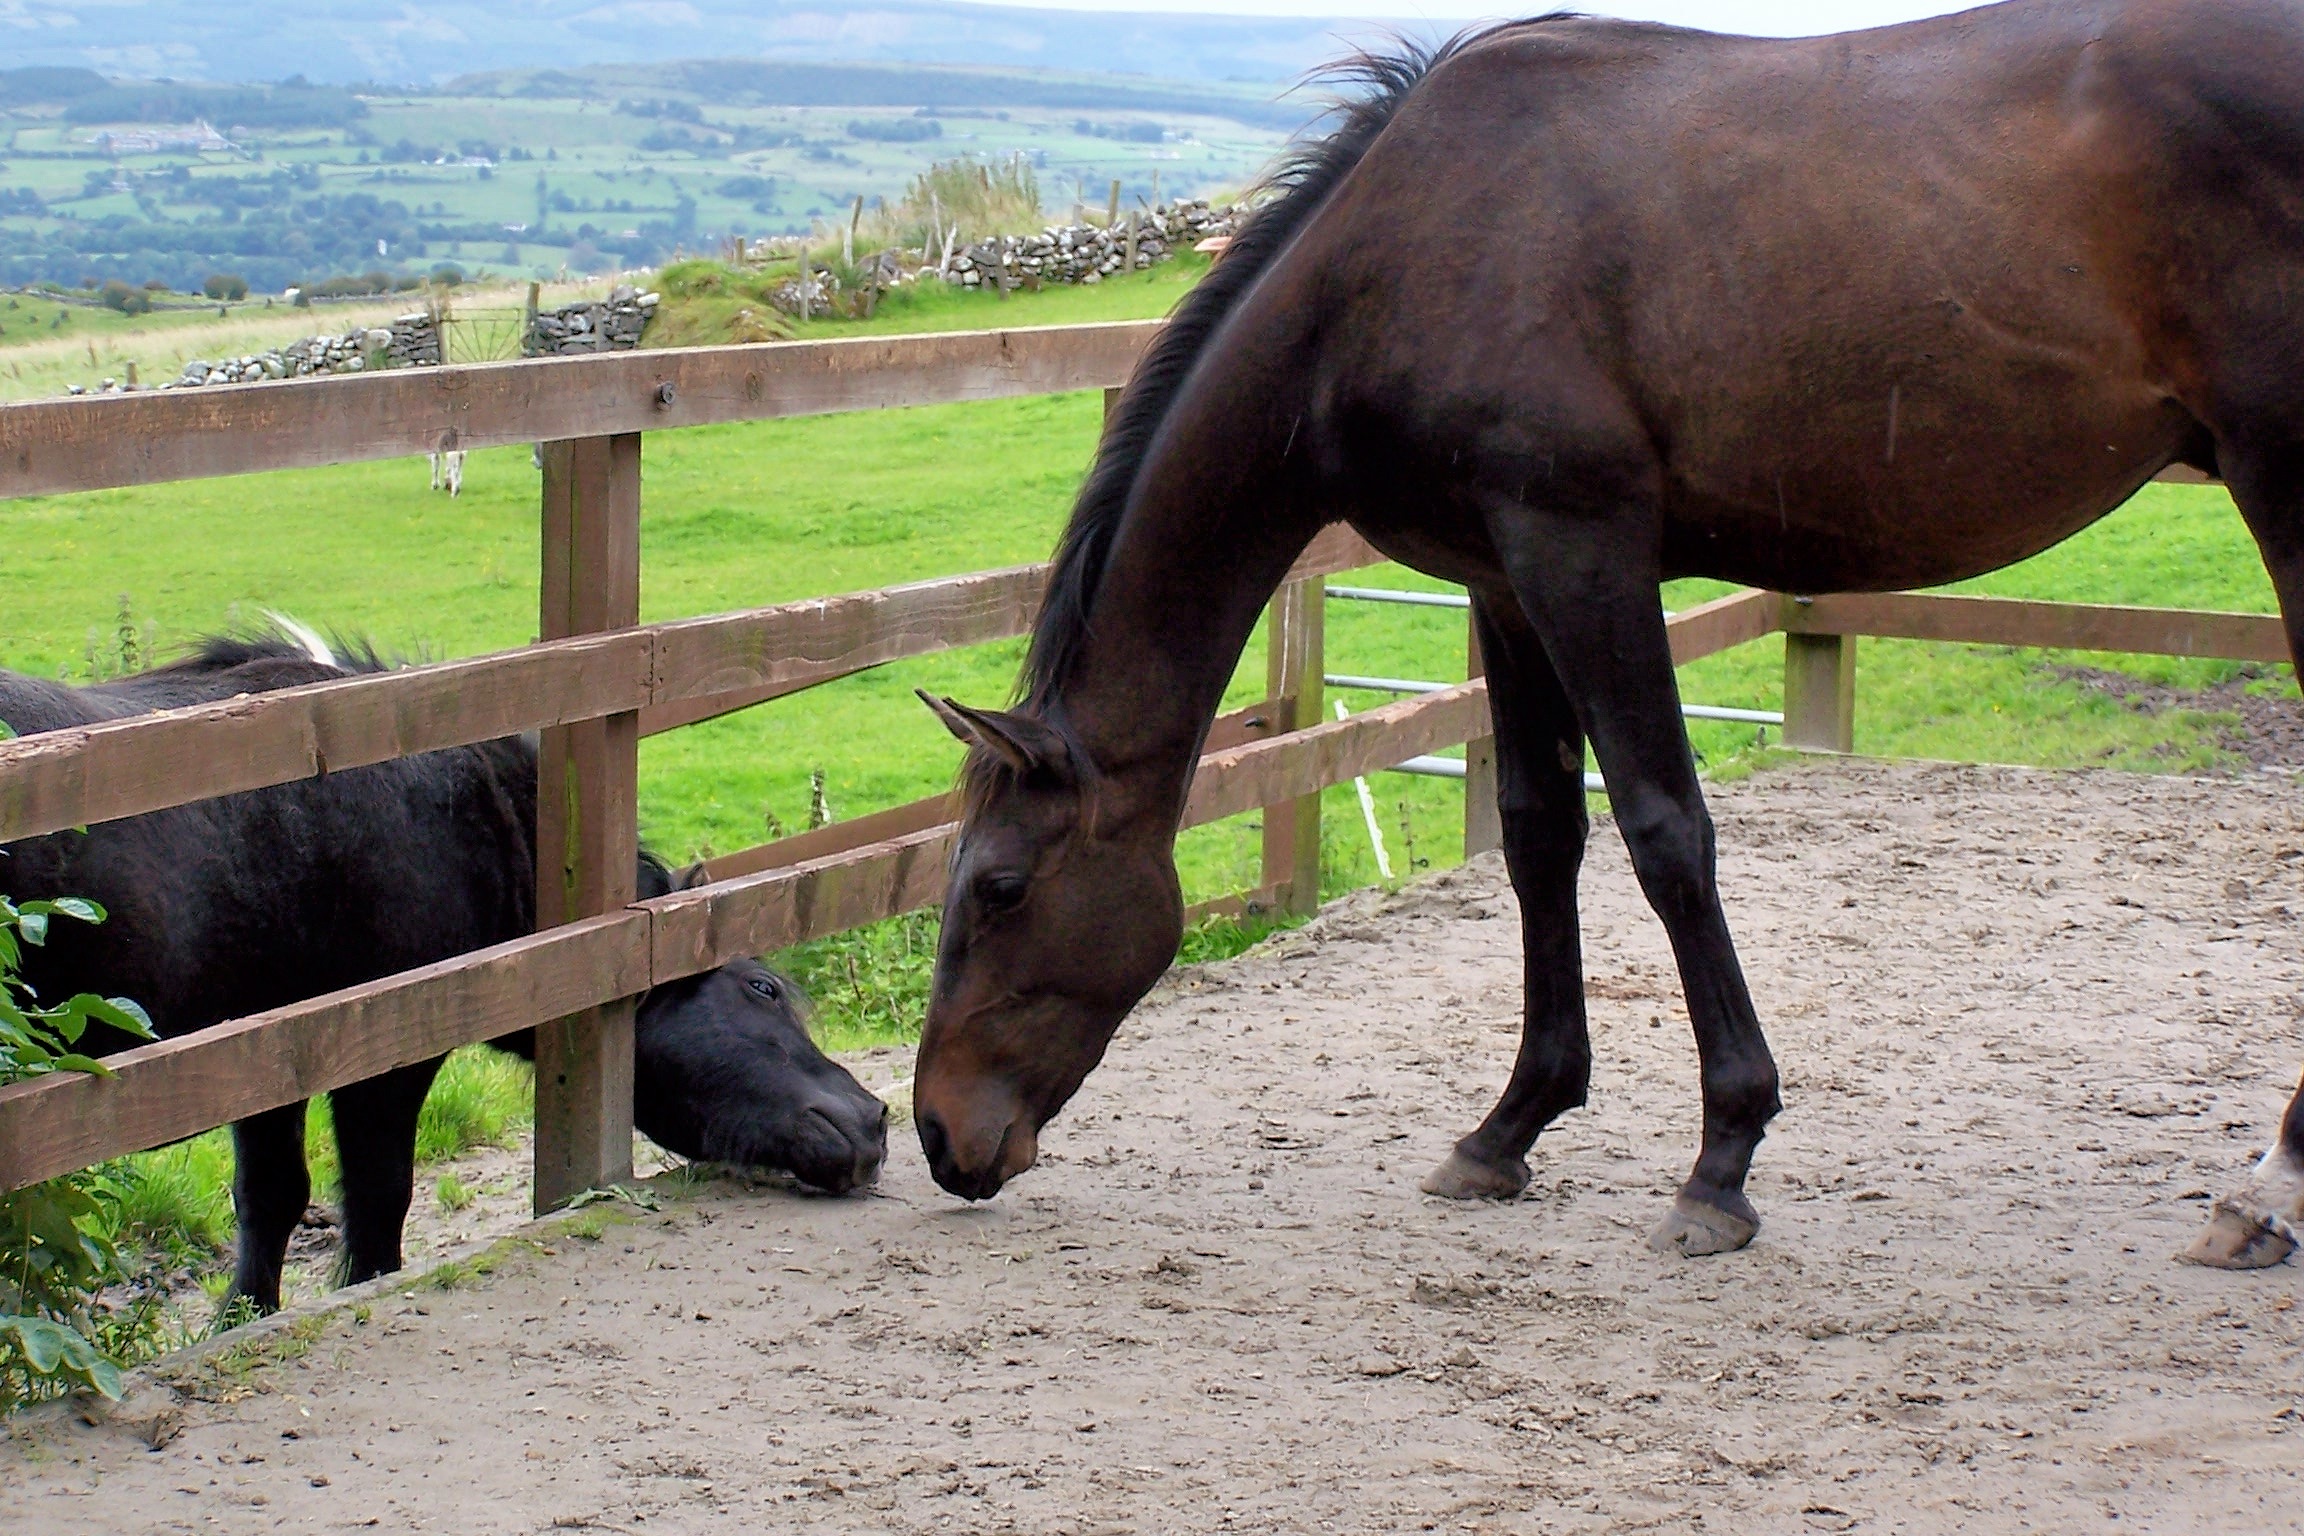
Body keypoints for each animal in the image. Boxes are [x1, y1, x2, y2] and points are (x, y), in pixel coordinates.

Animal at [0, 631, 887, 1312]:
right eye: (762, 988)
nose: (876, 1119)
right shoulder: (383, 1056)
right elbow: (377, 1202)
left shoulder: (267, 1054)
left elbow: (270, 1200)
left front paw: (240, 1319)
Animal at [908, 0, 2304, 1271]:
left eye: (1000, 887)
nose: (935, 1136)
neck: (1396, 255)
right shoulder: (1504, 581)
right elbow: (1540, 834)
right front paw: (1510, 1126)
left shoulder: (1583, 555)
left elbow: (1662, 830)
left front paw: (1721, 1160)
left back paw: (2266, 1186)